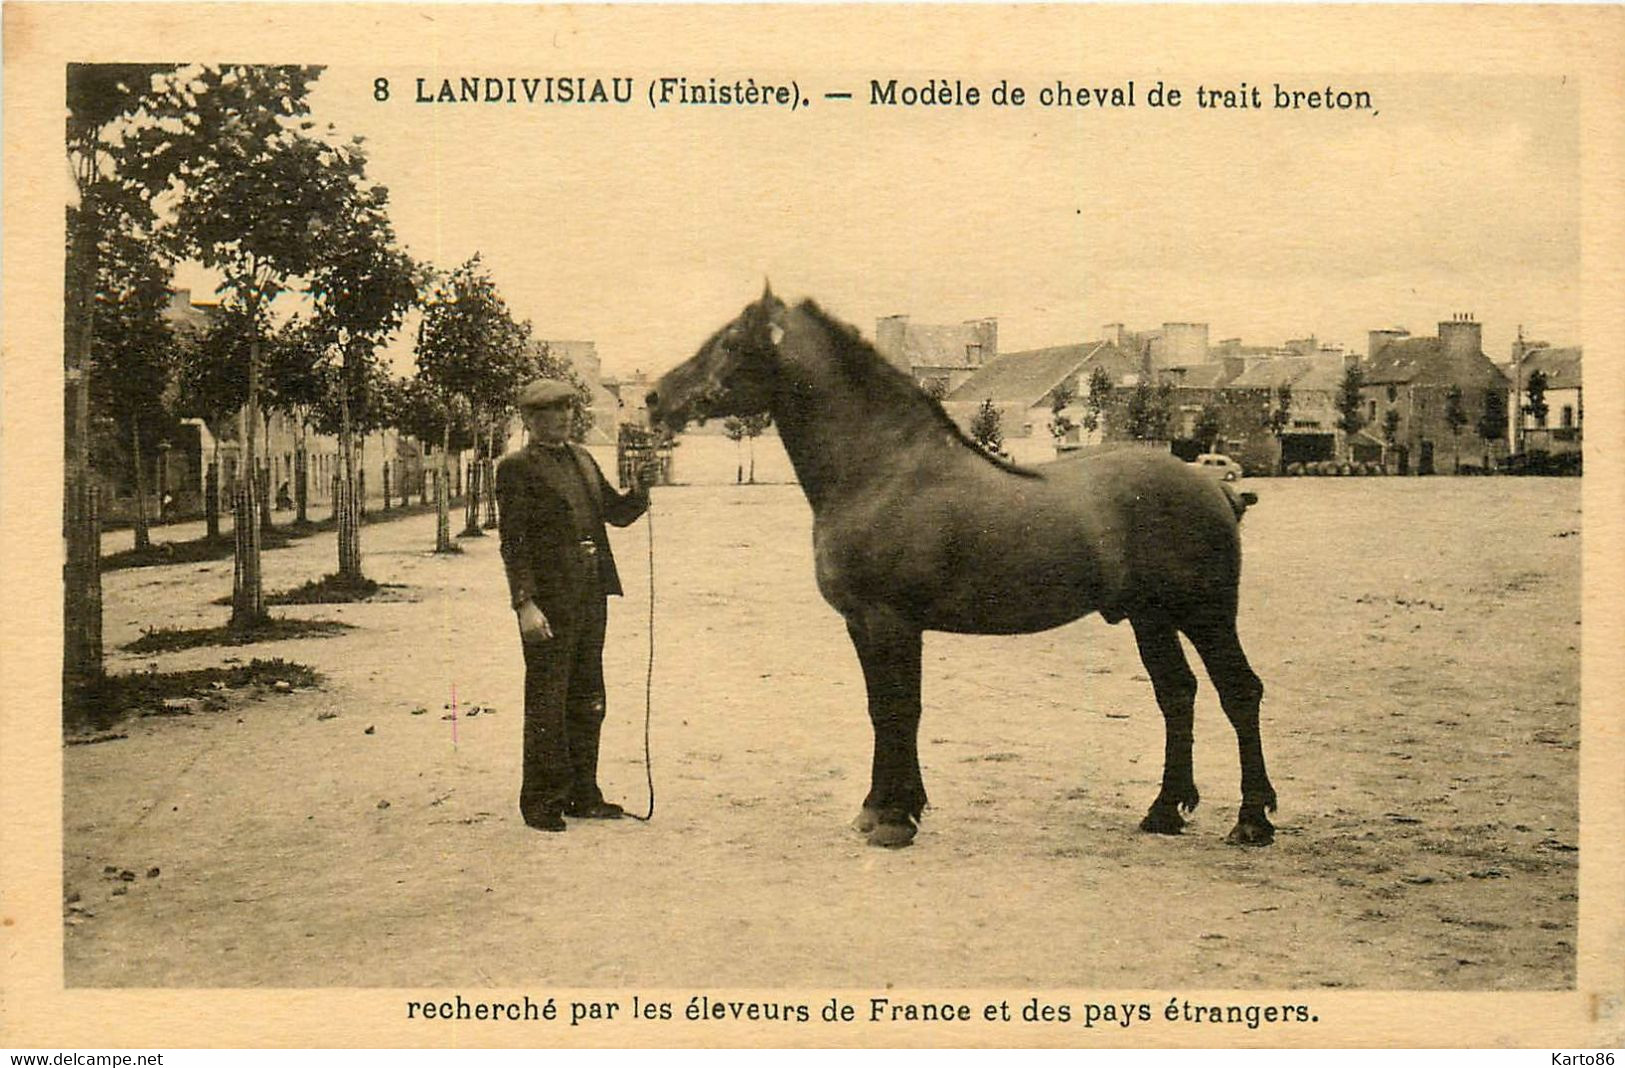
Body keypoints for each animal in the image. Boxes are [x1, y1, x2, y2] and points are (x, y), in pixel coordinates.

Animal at [646, 286, 1280, 851]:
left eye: (730, 342)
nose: (654, 397)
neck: (881, 470)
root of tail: (1216, 487)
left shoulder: (892, 622)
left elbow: (900, 709)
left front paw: (895, 820)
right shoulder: (861, 624)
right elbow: (880, 709)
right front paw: (879, 809)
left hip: (1205, 614)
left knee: (1239, 692)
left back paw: (1252, 821)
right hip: (1150, 618)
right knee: (1177, 693)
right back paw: (1164, 812)